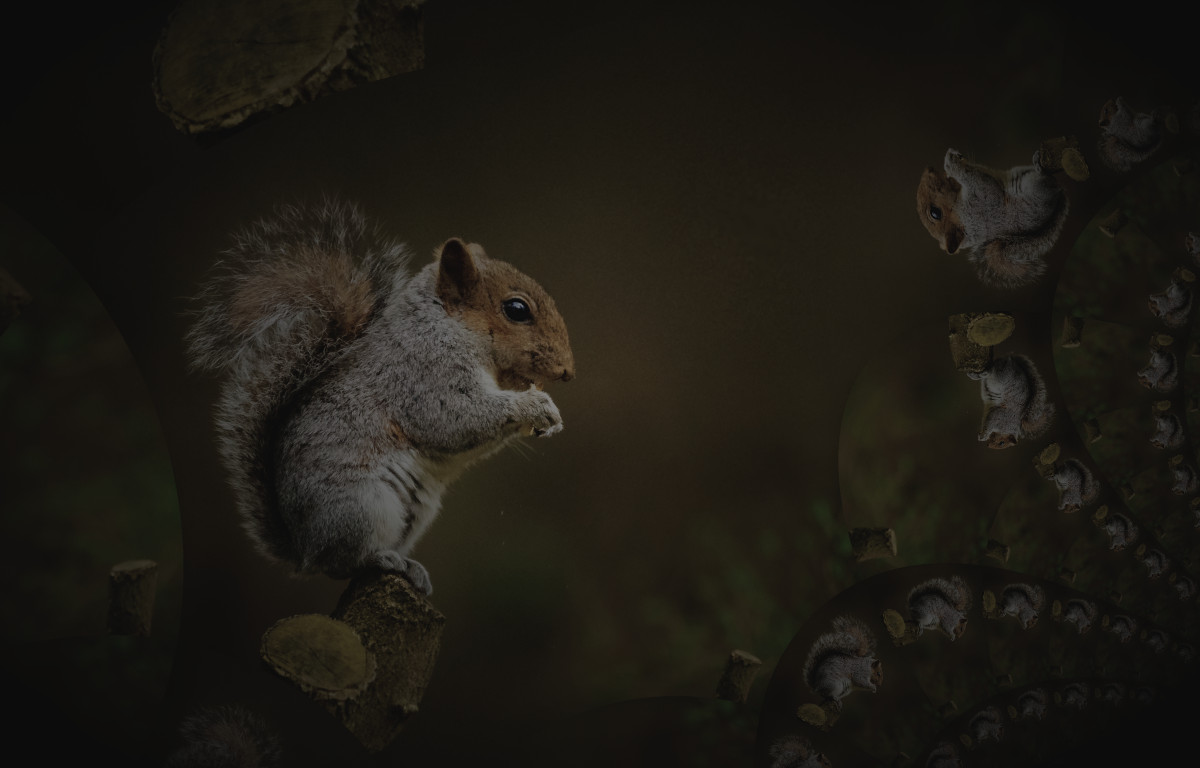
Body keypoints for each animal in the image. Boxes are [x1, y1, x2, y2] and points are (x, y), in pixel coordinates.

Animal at [186, 200, 575, 595]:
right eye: (516, 310)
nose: (568, 371)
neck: (447, 327)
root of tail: (302, 548)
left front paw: (549, 416)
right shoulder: (423, 376)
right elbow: (455, 420)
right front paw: (534, 406)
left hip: (415, 514)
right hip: (362, 507)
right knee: (340, 563)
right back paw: (382, 560)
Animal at [916, 147, 1068, 288]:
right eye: (935, 213)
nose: (927, 169)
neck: (961, 215)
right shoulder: (983, 203)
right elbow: (977, 178)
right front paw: (952, 163)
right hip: (1037, 188)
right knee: (1049, 182)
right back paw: (1040, 169)